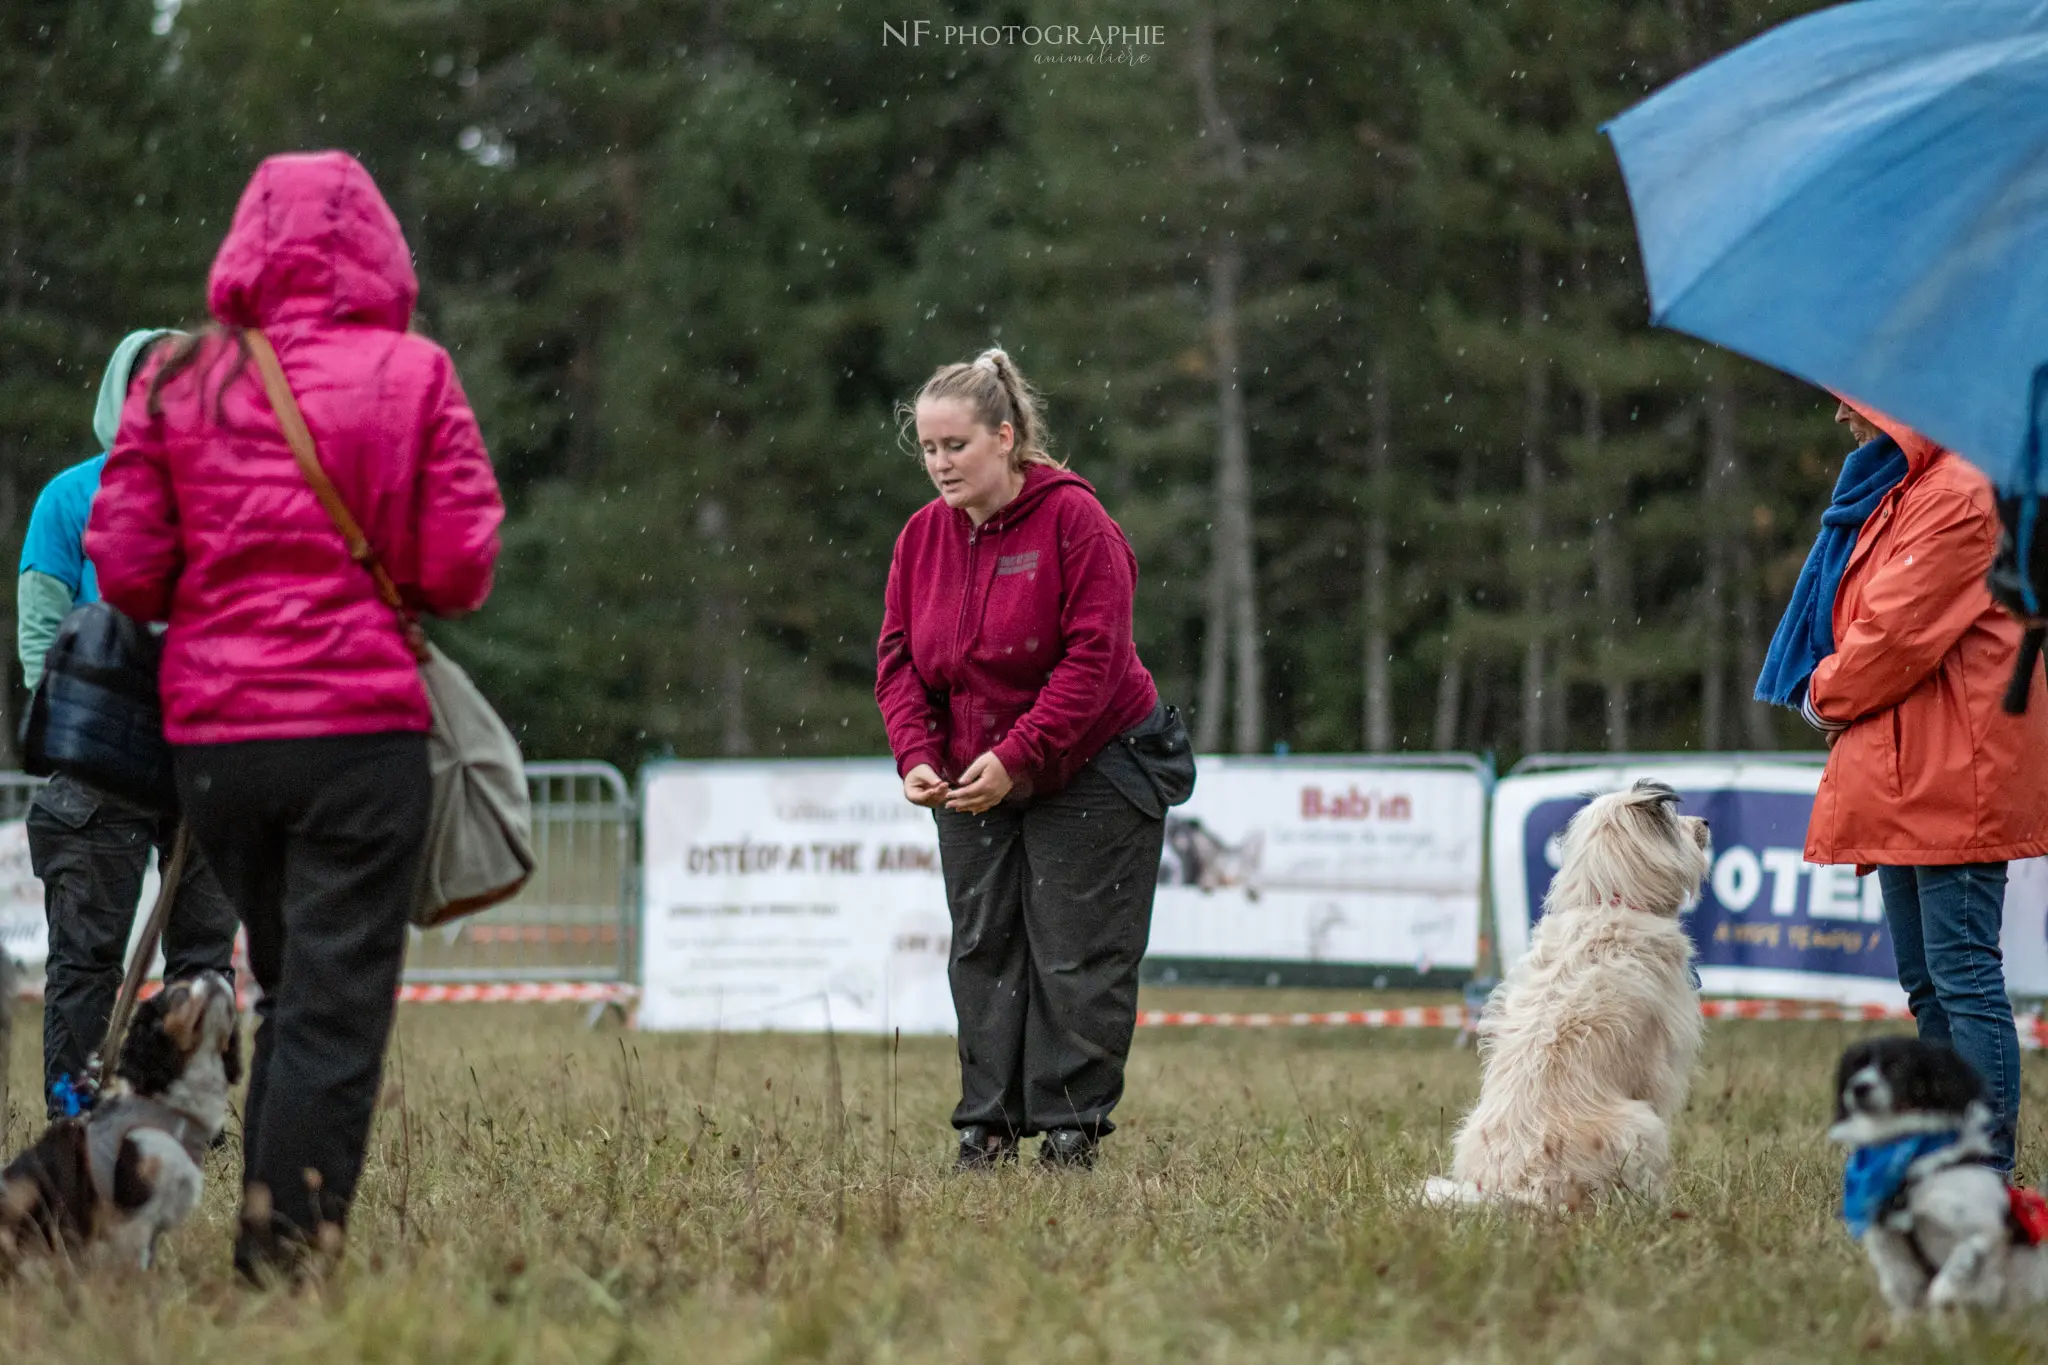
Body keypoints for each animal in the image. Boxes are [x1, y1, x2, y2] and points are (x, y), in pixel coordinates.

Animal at [1425, 785, 1712, 1211]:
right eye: (1674, 819)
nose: (1705, 821)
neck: (1609, 904)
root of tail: (1515, 1190)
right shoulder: (1657, 1070)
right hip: (1642, 1126)